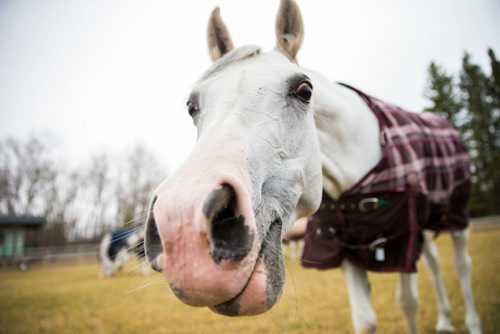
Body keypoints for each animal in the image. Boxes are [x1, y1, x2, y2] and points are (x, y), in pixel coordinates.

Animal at [144, 1, 480, 332]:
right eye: (192, 106)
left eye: (304, 91)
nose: (184, 228)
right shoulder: (345, 246)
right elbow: (365, 319)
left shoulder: (401, 238)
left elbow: (408, 302)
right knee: (435, 262)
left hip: (456, 219)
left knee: (462, 266)